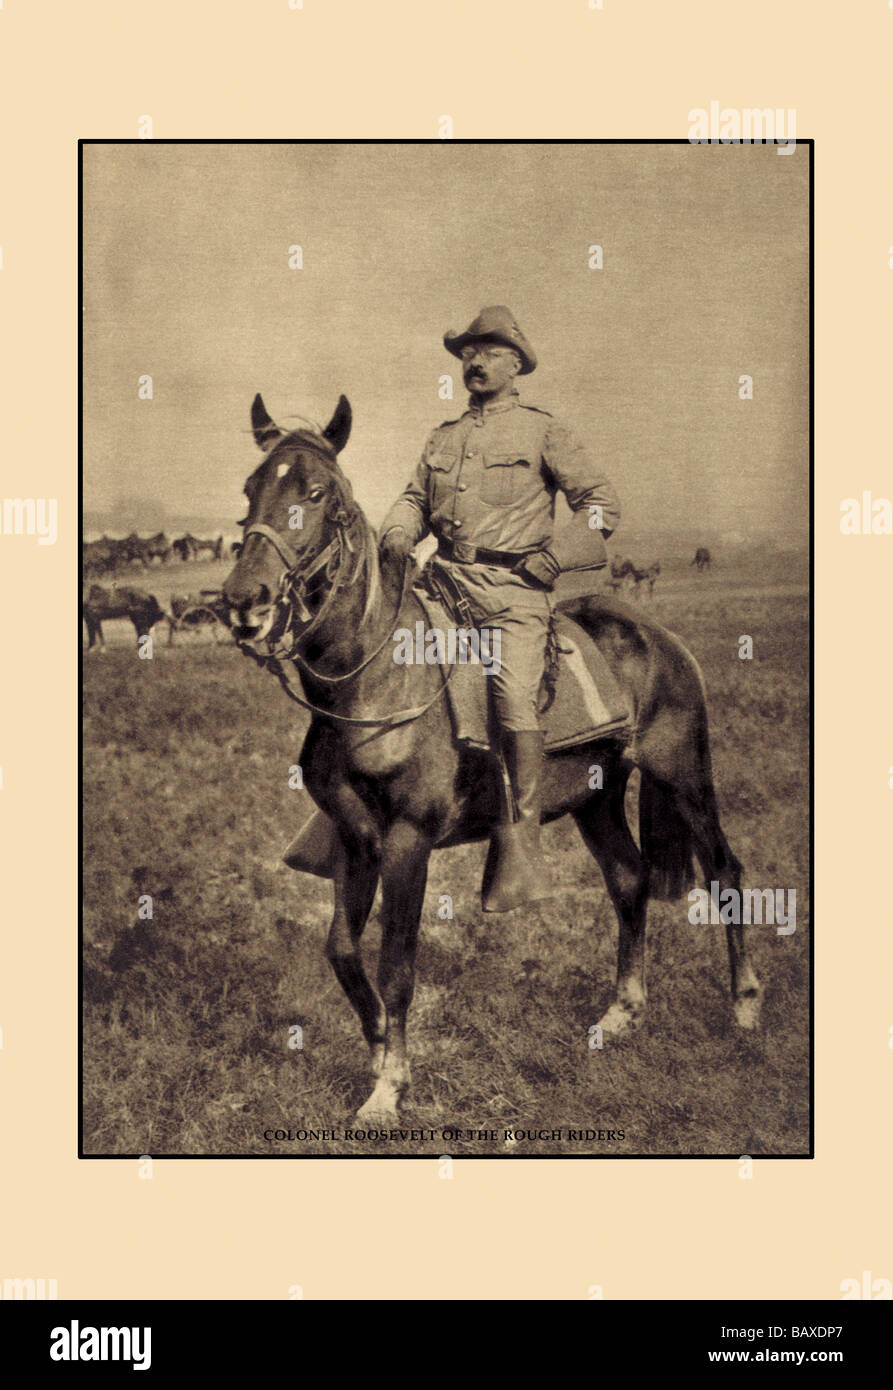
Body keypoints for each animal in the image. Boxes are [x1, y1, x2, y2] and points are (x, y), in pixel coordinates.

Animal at [219, 389, 756, 1117]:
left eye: (319, 492)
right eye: (252, 487)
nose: (242, 601)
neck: (379, 677)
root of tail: (658, 636)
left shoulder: (407, 839)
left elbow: (396, 963)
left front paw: (389, 1087)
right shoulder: (355, 839)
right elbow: (342, 952)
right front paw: (379, 1047)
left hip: (684, 776)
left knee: (725, 870)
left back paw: (745, 1006)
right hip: (596, 797)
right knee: (629, 880)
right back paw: (620, 1014)